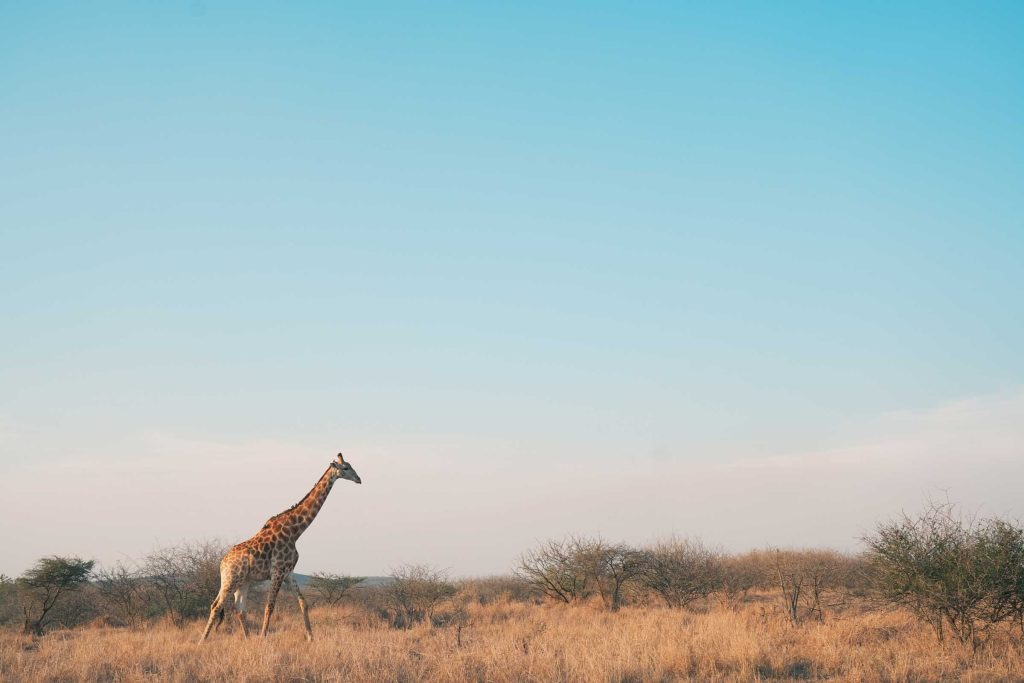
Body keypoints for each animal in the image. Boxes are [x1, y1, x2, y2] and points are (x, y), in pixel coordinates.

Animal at [197, 454, 362, 643]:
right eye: (346, 468)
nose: (359, 479)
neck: (295, 530)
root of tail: (222, 563)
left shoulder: (288, 572)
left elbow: (303, 603)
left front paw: (310, 637)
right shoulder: (277, 571)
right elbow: (270, 605)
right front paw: (263, 637)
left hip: (243, 581)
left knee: (239, 608)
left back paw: (248, 639)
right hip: (232, 578)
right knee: (216, 605)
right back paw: (202, 641)